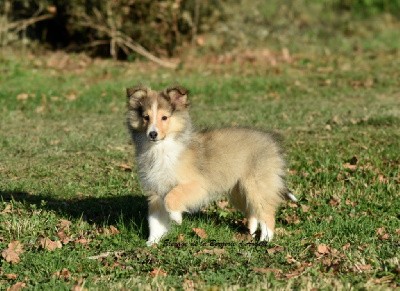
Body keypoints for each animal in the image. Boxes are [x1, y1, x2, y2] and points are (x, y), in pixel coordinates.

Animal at [126, 85, 296, 246]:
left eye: (164, 117)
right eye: (146, 117)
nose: (152, 134)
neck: (161, 148)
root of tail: (272, 141)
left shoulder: (197, 185)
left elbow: (171, 197)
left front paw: (176, 218)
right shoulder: (155, 191)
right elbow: (155, 221)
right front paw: (152, 242)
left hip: (256, 185)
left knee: (267, 213)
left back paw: (265, 240)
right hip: (239, 191)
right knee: (253, 210)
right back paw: (253, 230)